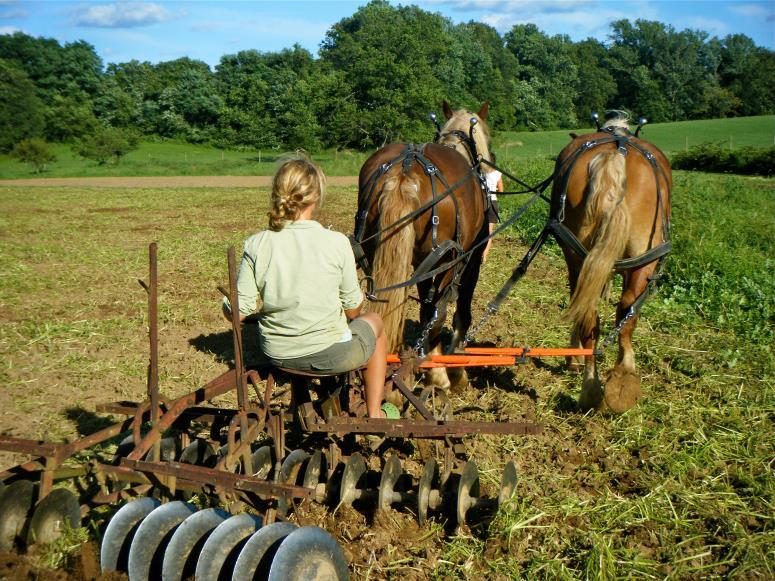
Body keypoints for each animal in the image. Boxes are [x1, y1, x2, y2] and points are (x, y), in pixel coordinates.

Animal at [353, 102, 492, 389]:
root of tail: (404, 171)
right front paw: (455, 371)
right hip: (445, 261)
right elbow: (459, 313)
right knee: (436, 314)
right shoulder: (471, 259)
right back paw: (438, 375)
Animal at [549, 112, 672, 412]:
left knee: (598, 313)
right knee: (621, 310)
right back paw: (613, 378)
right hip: (636, 257)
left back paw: (604, 383)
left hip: (586, 255)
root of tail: (617, 153)